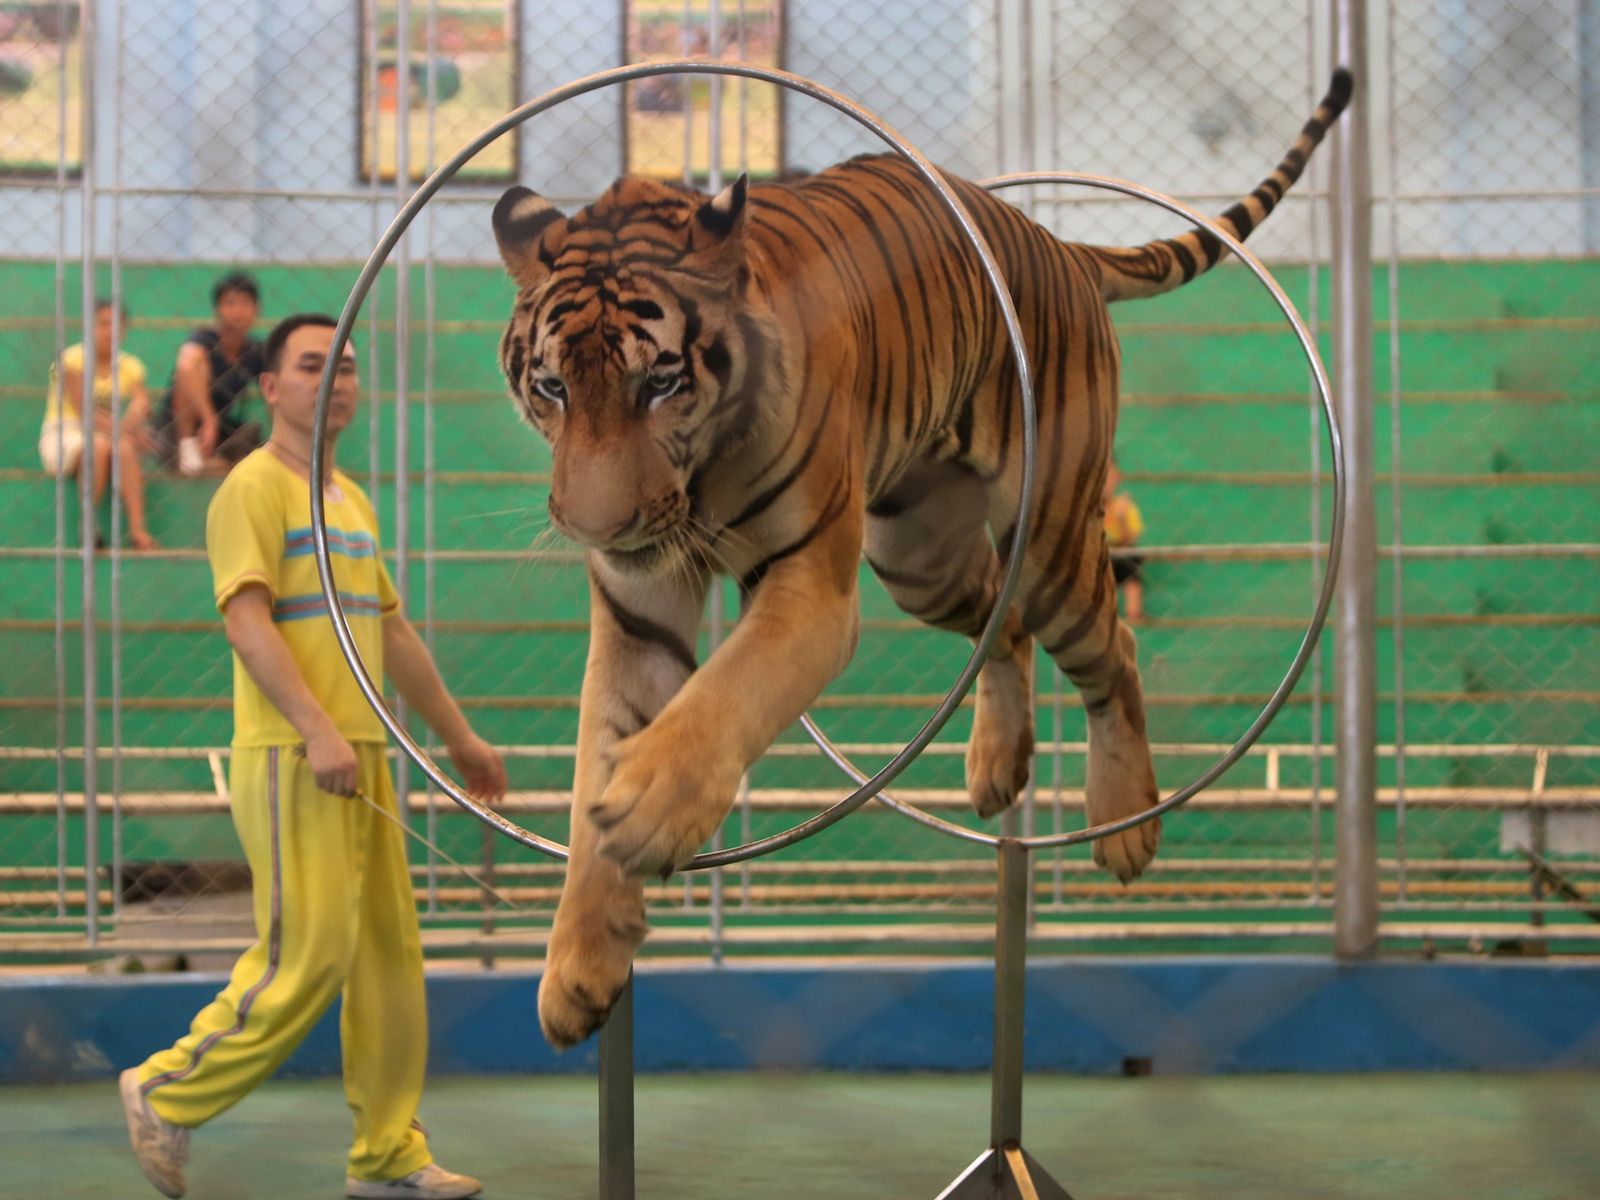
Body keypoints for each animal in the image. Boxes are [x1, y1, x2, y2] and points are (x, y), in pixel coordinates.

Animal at [492, 69, 1352, 1048]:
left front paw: (647, 807)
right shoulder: (639, 611)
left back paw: (1125, 820)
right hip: (920, 556)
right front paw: (578, 967)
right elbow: (601, 749)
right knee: (1003, 625)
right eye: (553, 387)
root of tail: (1060, 245)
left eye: (661, 382)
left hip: (1050, 536)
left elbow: (720, 699)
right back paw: (998, 763)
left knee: (1111, 650)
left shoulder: (809, 592)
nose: (597, 526)